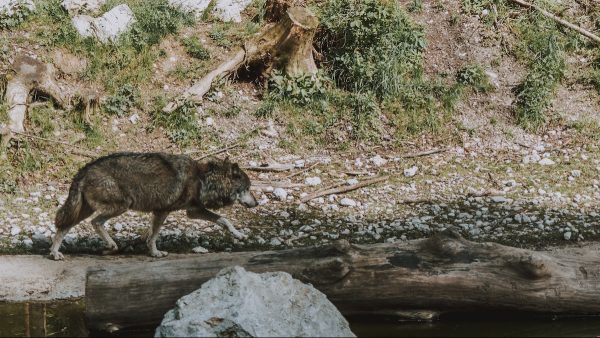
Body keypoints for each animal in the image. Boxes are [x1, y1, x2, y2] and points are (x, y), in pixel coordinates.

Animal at [49, 152, 258, 260]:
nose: (256, 203)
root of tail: (84, 169)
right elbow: (154, 236)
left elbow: (224, 220)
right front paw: (155, 252)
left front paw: (239, 235)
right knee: (95, 223)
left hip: (85, 209)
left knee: (63, 227)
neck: (203, 179)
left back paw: (55, 253)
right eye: (248, 188)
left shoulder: (193, 210)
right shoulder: (162, 211)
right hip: (121, 205)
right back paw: (111, 245)